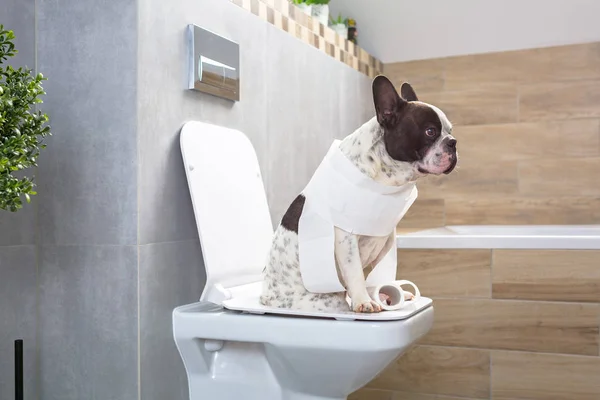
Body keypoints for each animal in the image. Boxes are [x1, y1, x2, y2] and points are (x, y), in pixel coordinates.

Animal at [258, 75, 460, 312]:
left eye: (450, 131)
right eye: (430, 132)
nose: (453, 143)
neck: (382, 173)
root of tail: (265, 296)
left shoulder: (386, 238)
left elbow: (383, 271)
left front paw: (390, 292)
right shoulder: (346, 239)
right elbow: (355, 272)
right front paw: (364, 301)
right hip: (325, 302)